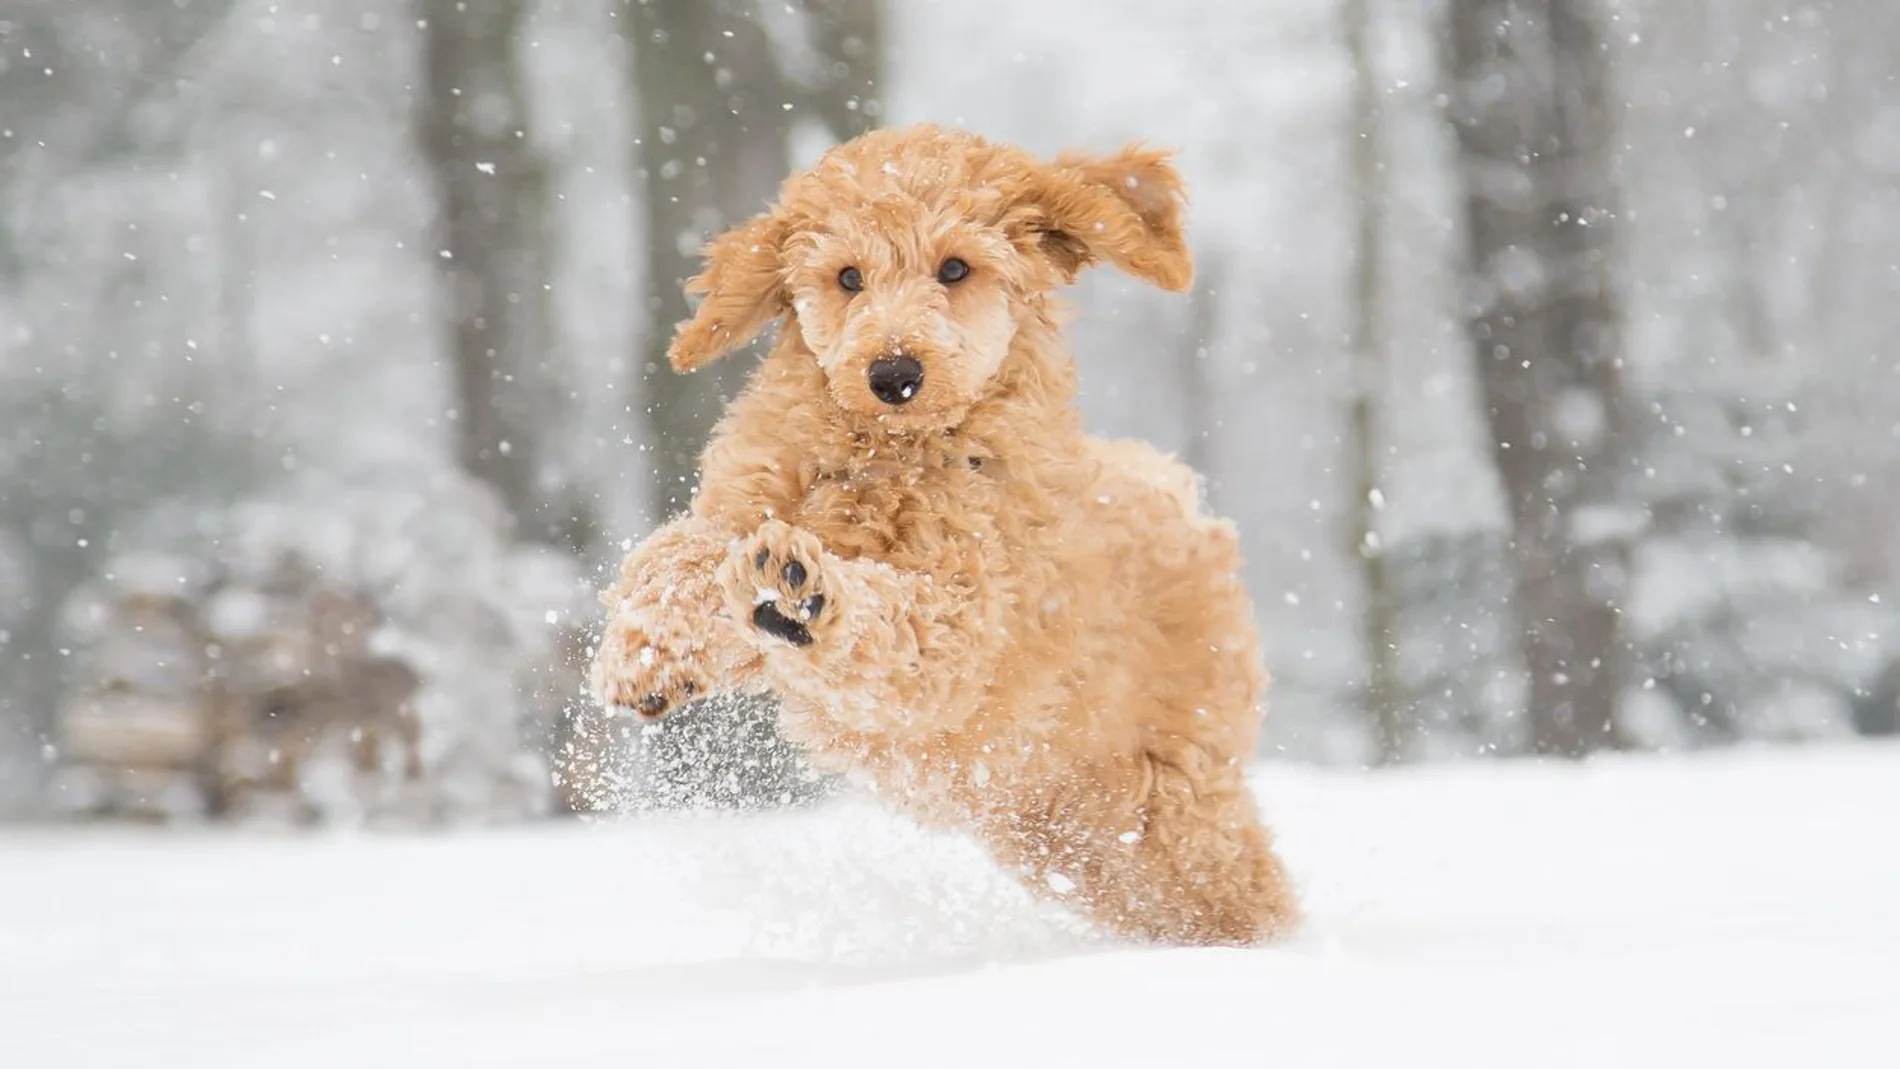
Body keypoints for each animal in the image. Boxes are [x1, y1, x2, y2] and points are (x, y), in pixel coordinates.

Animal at [592, 123, 1299, 945]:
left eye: (955, 267)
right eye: (848, 277)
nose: (893, 373)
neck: (889, 457)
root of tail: (1184, 500)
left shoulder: (968, 620)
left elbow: (900, 622)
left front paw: (805, 595)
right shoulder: (746, 502)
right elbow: (676, 554)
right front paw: (643, 655)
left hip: (1174, 795)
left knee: (1237, 883)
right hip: (1062, 827)